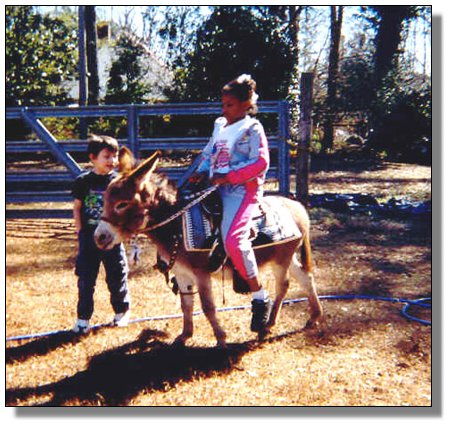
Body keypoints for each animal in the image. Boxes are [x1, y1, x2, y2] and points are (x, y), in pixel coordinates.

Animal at [94, 147, 323, 347]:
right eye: (105, 200)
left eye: (122, 204)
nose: (99, 237)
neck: (176, 225)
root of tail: (297, 206)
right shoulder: (182, 273)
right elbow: (186, 305)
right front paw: (185, 335)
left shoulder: (201, 273)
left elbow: (207, 307)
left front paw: (220, 338)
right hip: (288, 257)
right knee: (306, 278)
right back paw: (314, 317)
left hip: (281, 261)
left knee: (282, 286)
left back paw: (267, 325)